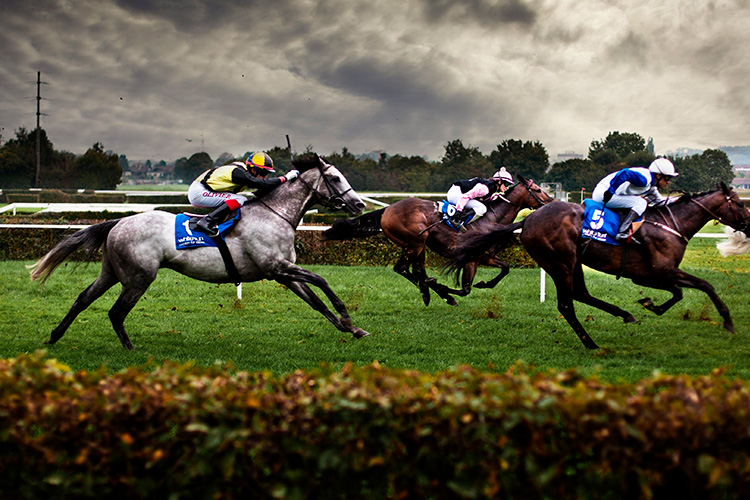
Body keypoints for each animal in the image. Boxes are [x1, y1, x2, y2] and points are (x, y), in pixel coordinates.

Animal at [29, 154, 369, 349]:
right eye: (335, 178)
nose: (359, 204)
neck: (275, 214)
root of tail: (119, 221)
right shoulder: (276, 267)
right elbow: (322, 281)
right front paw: (346, 315)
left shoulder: (283, 273)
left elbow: (316, 302)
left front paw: (351, 328)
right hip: (138, 278)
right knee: (116, 312)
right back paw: (130, 349)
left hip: (112, 272)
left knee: (83, 299)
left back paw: (54, 336)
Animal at [322, 175, 552, 306]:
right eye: (538, 190)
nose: (551, 202)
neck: (491, 220)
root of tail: (387, 209)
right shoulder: (469, 259)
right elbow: (465, 289)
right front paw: (447, 290)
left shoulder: (484, 256)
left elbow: (505, 268)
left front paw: (484, 284)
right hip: (415, 241)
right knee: (403, 269)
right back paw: (435, 291)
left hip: (419, 246)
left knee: (417, 271)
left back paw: (429, 292)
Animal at [449, 183, 750, 349]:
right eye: (738, 203)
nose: (748, 225)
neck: (670, 223)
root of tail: (527, 220)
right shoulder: (659, 271)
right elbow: (703, 285)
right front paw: (727, 321)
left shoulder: (652, 275)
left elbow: (679, 291)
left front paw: (650, 305)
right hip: (560, 262)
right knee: (567, 304)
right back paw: (591, 343)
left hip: (574, 262)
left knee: (581, 294)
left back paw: (624, 315)